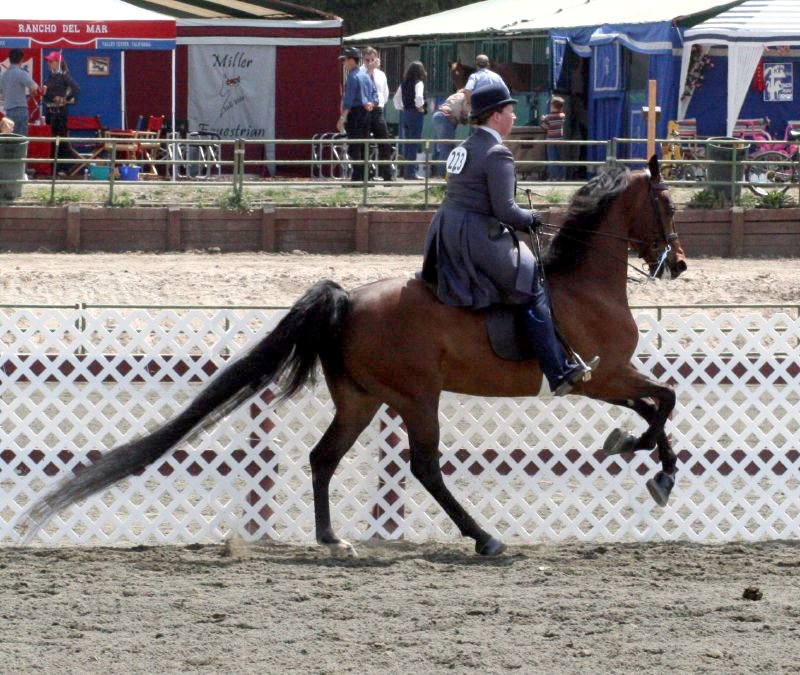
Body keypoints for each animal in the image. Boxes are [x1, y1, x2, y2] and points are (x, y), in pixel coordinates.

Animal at [21, 157, 688, 556]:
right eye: (669, 204)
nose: (678, 265)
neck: (586, 283)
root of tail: (345, 301)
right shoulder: (600, 375)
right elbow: (664, 401)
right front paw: (655, 469)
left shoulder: (609, 378)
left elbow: (656, 406)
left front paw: (636, 451)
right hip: (418, 397)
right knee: (424, 467)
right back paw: (483, 539)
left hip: (362, 400)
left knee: (324, 457)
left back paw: (331, 537)